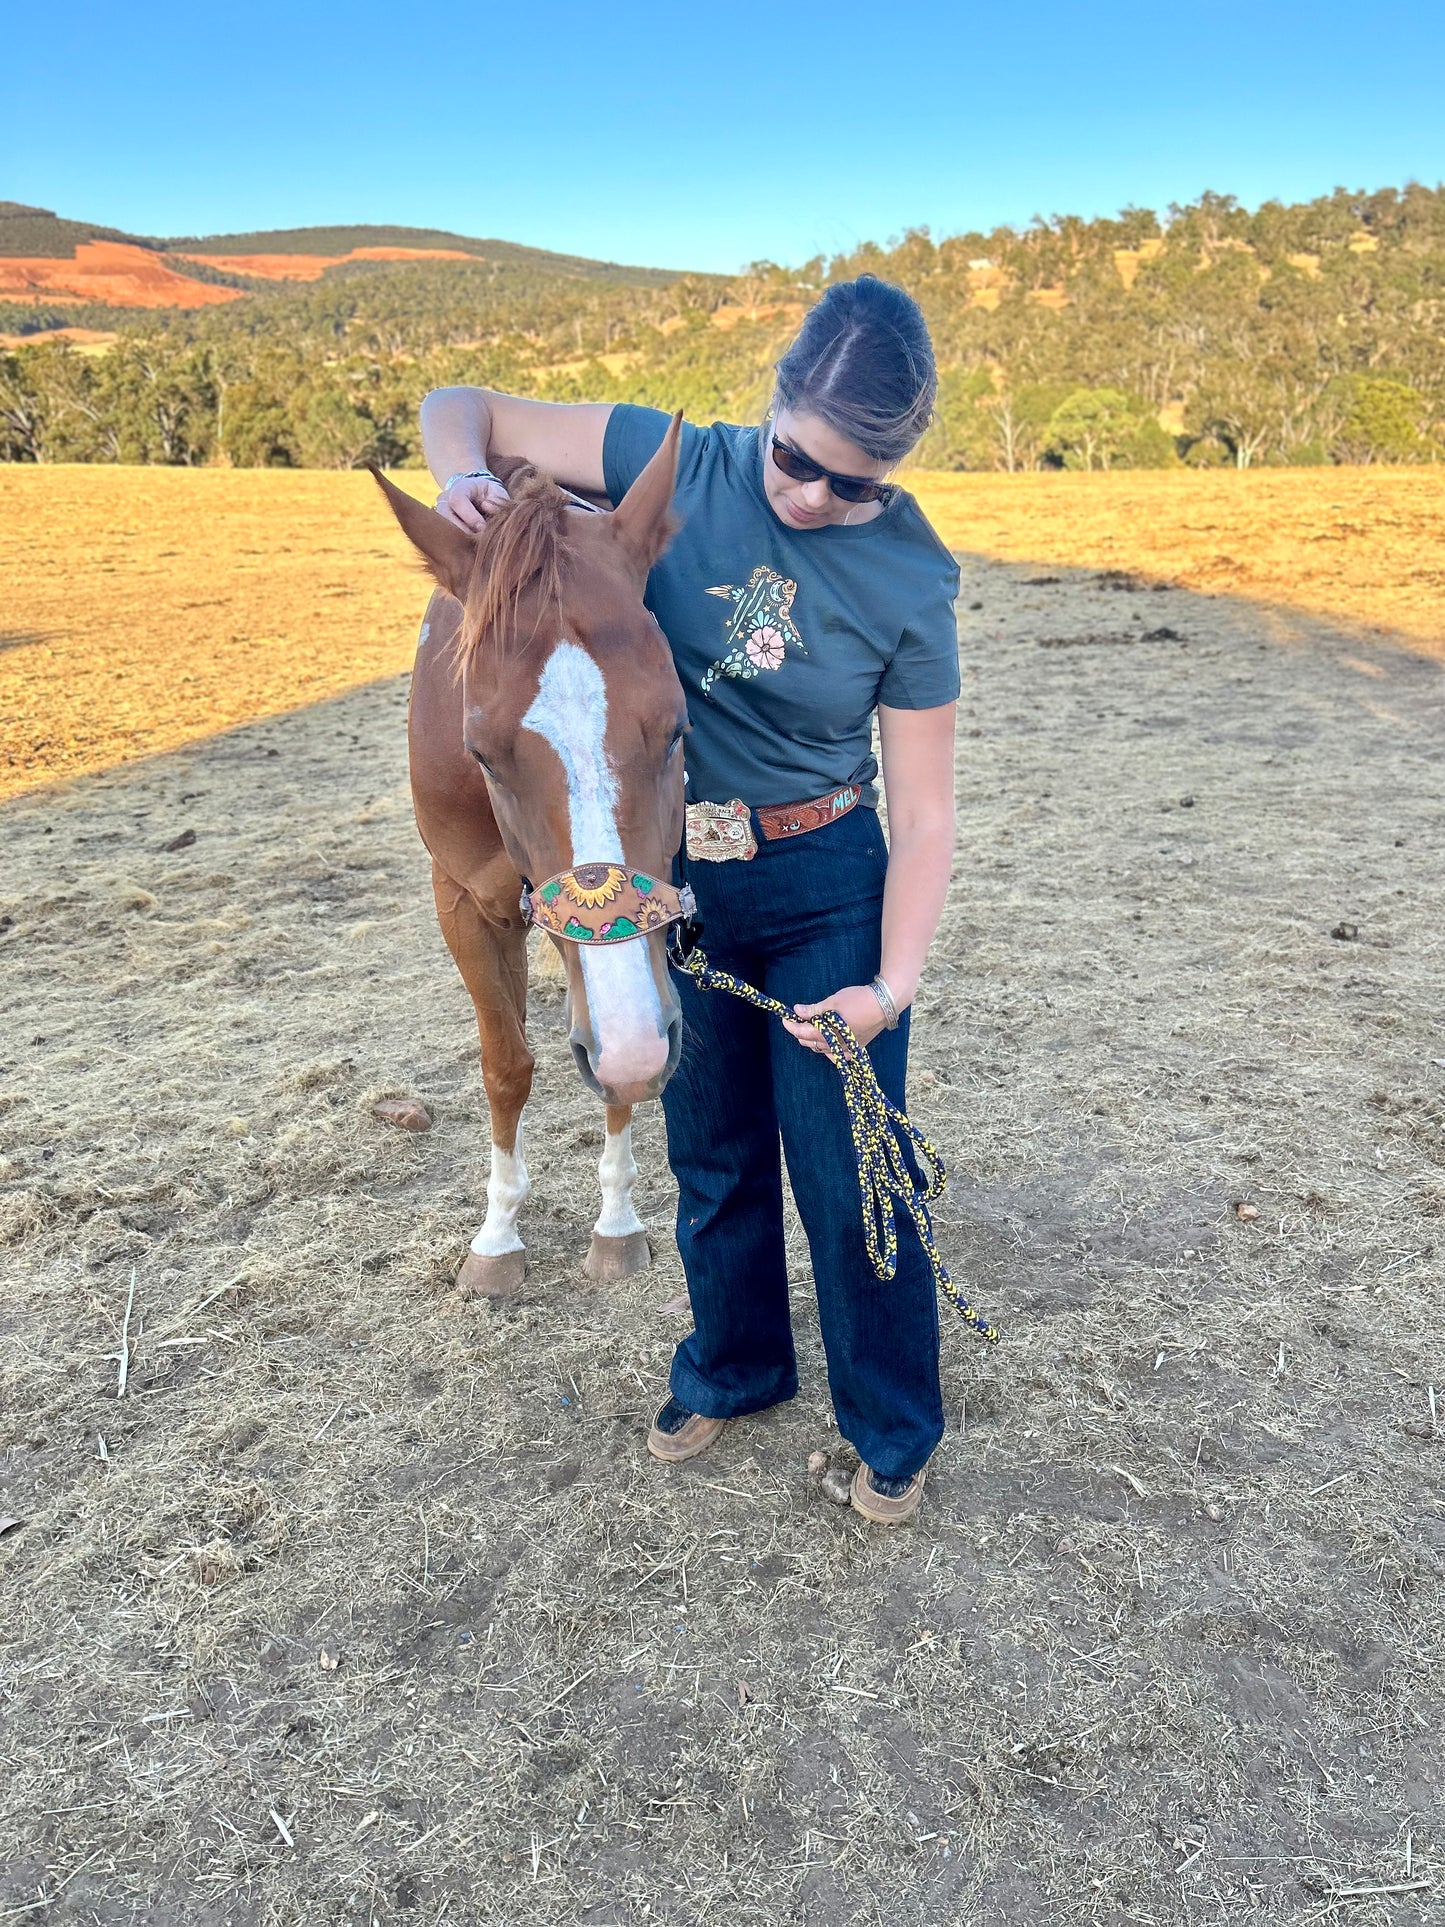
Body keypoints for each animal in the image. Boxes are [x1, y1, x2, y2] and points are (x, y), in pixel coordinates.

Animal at [373, 418, 689, 1294]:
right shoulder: (461, 900)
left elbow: (621, 1067)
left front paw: (616, 1223)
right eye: (480, 751)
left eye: (676, 726)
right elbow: (506, 1065)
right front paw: (497, 1236)